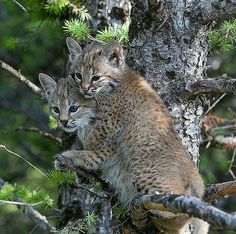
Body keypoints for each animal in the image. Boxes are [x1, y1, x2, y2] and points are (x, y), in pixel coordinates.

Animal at [39, 42, 208, 234]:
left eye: (96, 77)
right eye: (78, 75)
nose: (84, 89)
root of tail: (193, 170)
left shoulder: (108, 130)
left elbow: (92, 150)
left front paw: (70, 156)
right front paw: (81, 174)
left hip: (144, 172)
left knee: (181, 205)